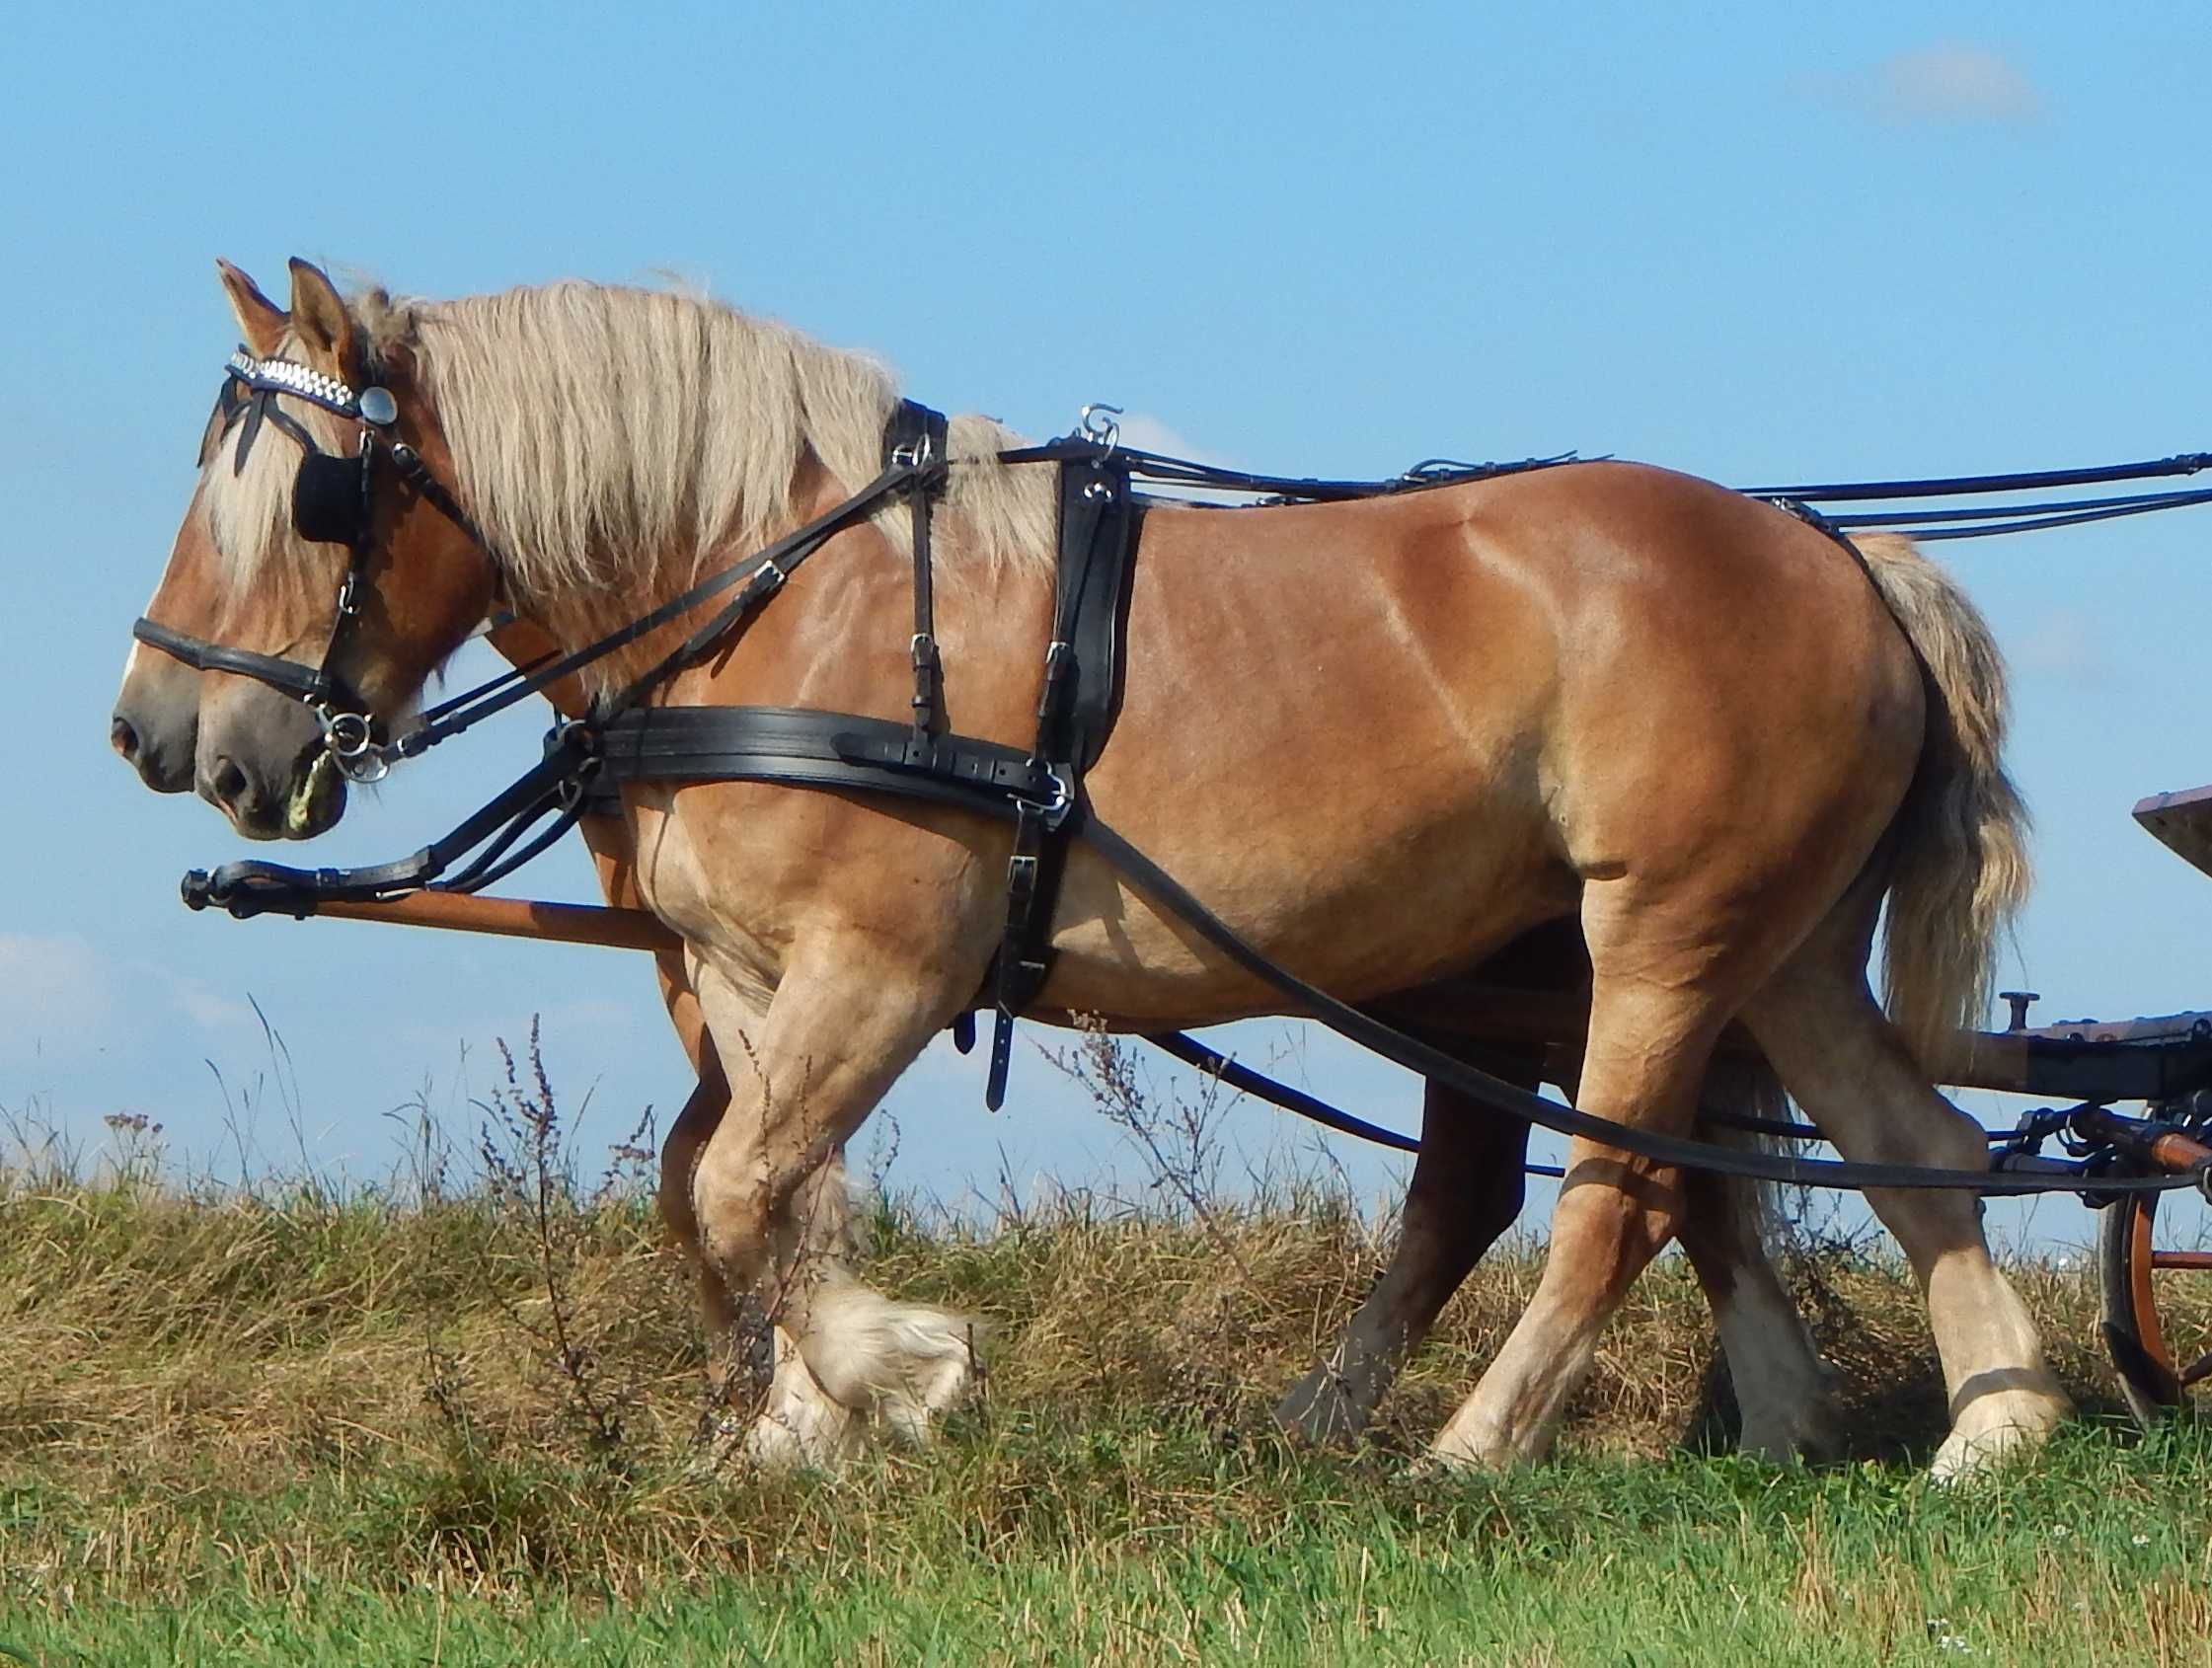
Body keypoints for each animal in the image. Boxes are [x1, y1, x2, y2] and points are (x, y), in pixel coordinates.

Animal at [116, 257, 2052, 1469]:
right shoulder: (740, 969)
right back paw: (1988, 1424)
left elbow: (744, 1188)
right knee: (1910, 1145)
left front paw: (896, 1372)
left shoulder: (886, 962)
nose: (161, 736)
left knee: (1621, 1190)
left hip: (1658, 937)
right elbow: (746, 1191)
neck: (775, 589)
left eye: (313, 500)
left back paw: (1466, 1450)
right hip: (1775, 949)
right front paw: (796, 1425)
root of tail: (1838, 555)